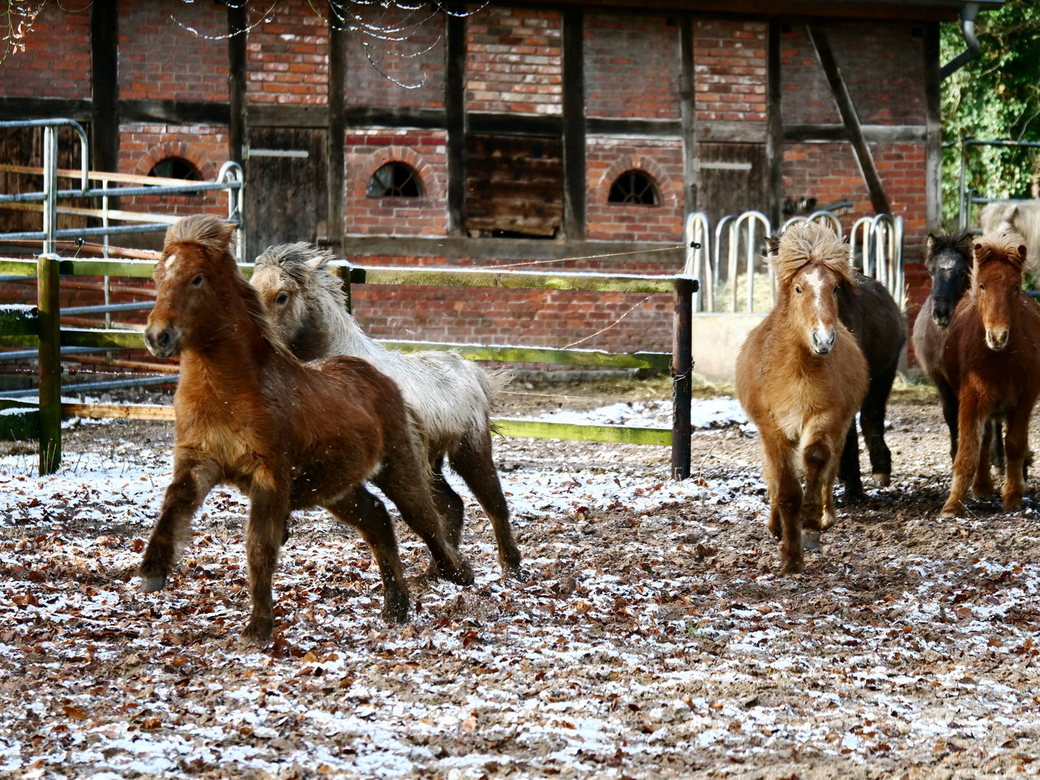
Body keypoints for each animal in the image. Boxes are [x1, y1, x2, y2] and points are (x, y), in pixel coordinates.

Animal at [136, 215, 474, 648]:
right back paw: (396, 607)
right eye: (158, 274)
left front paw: (258, 628)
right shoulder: (198, 463)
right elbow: (174, 505)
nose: (157, 336)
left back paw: (456, 573)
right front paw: (152, 571)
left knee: (424, 517)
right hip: (336, 489)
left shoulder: (270, 476)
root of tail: (367, 370)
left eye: (197, 278)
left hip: (397, 467)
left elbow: (260, 547)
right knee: (377, 519)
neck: (232, 392)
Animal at [250, 244, 524, 582]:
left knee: (492, 502)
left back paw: (510, 566)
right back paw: (435, 571)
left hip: (469, 450)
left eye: (282, 296)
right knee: (452, 505)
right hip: (431, 461)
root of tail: (469, 369)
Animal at [736, 222, 873, 569]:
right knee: (773, 474)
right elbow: (784, 487)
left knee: (830, 467)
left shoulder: (825, 417)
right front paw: (790, 557)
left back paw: (823, 516)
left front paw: (810, 525)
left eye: (835, 288)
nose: (823, 339)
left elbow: (816, 460)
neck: (799, 369)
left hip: (840, 427)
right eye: (798, 288)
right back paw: (775, 525)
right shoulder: (773, 429)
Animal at [935, 233, 1040, 520]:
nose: (997, 336)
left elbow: (1014, 445)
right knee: (982, 443)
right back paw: (981, 488)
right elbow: (968, 450)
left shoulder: (1024, 400)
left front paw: (1013, 498)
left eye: (1015, 287)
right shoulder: (971, 397)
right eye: (982, 286)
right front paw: (952, 504)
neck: (1000, 358)